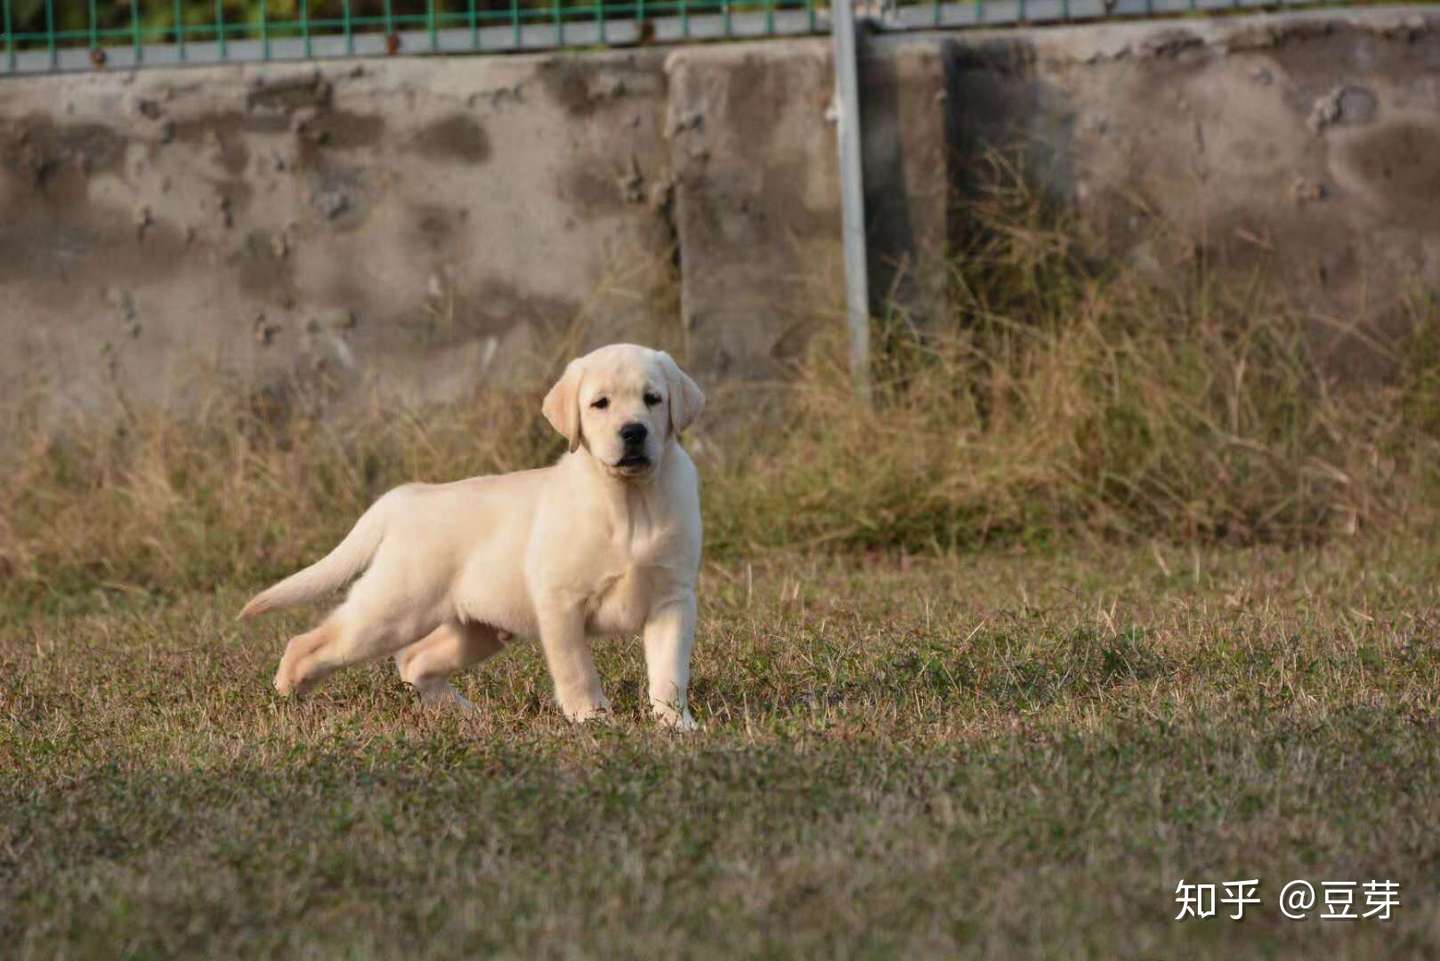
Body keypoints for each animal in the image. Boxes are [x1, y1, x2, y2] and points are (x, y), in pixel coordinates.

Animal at [240, 345, 702, 729]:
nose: (634, 432)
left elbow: (669, 674)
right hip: (391, 611)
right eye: (600, 404)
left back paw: (463, 712)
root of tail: (407, 495)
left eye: (653, 399)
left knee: (414, 660)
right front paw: (593, 720)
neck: (630, 502)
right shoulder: (561, 603)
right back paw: (286, 699)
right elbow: (577, 672)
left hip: (475, 628)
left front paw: (676, 726)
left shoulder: (672, 600)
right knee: (308, 643)